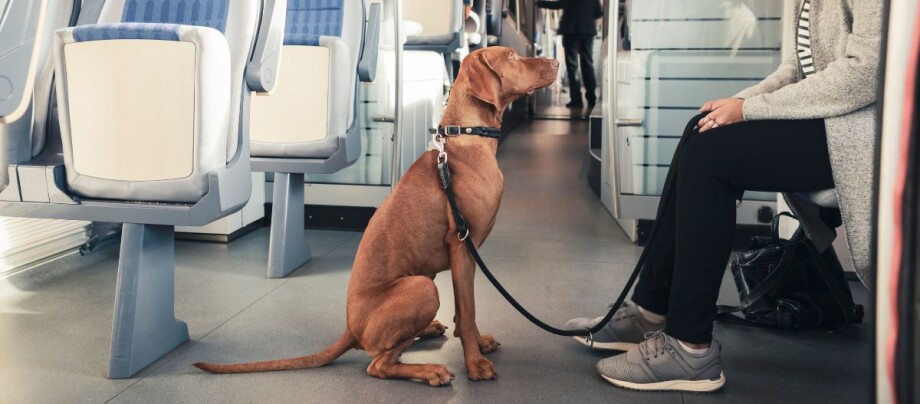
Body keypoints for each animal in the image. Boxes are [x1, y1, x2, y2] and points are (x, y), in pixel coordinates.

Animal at [196, 46, 560, 386]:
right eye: (512, 56)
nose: (556, 63)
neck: (465, 141)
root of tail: (350, 329)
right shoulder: (462, 247)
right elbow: (467, 311)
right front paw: (475, 365)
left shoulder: (466, 256)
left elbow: (465, 314)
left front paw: (479, 343)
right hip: (422, 287)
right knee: (378, 364)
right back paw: (429, 370)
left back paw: (427, 331)